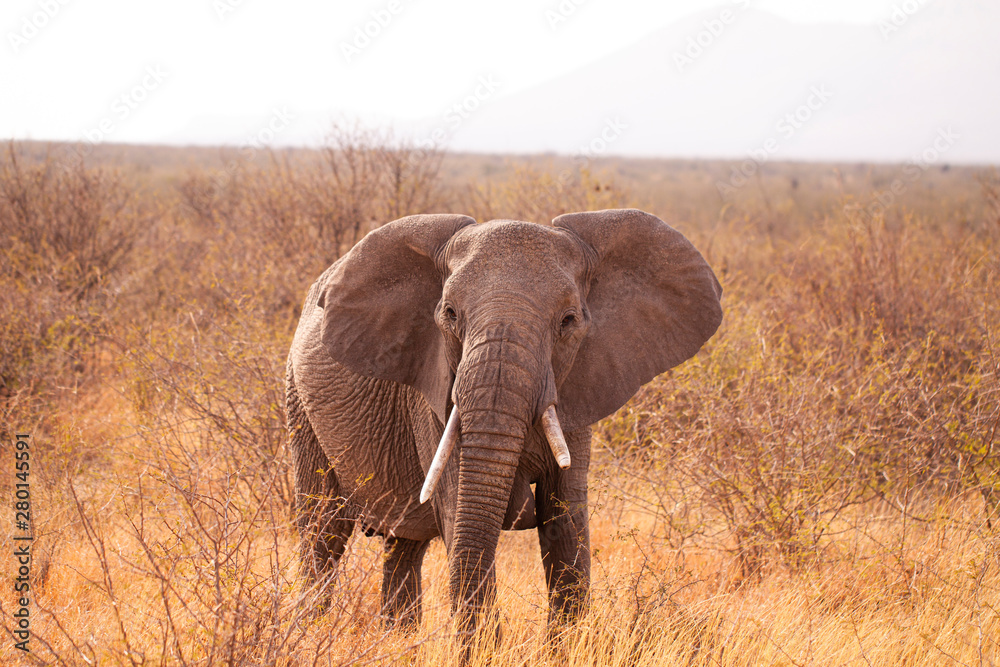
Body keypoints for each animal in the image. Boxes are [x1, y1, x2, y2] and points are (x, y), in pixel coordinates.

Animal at [285, 208, 722, 641]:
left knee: (403, 546)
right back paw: (312, 632)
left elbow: (565, 521)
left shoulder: (577, 391)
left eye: (568, 320)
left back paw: (397, 641)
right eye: (450, 314)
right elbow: (460, 512)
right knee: (323, 531)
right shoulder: (432, 397)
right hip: (298, 404)